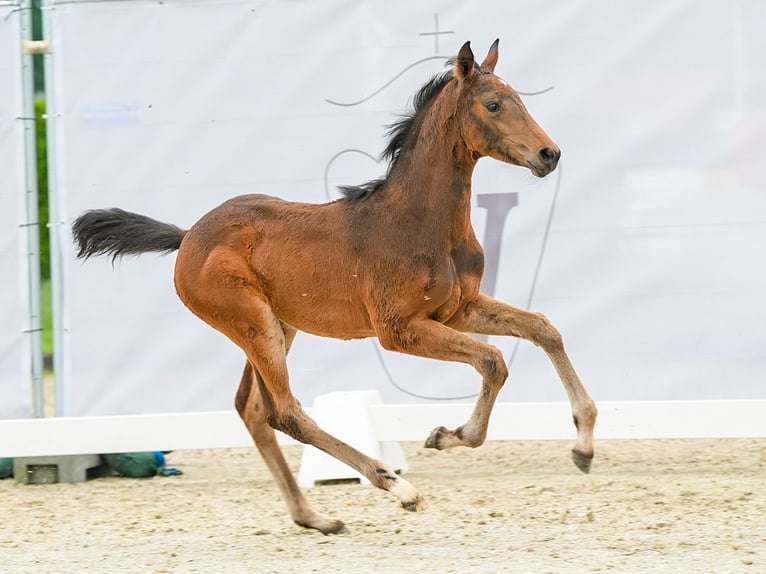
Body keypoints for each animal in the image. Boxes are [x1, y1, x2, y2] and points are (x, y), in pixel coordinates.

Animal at [73, 40, 600, 536]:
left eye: (520, 99)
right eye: (493, 104)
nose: (550, 154)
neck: (418, 220)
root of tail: (187, 237)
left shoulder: (458, 309)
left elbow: (543, 329)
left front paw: (583, 445)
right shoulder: (398, 329)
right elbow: (492, 360)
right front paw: (448, 435)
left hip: (277, 327)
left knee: (253, 410)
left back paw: (315, 518)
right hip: (252, 323)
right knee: (285, 413)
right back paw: (398, 487)